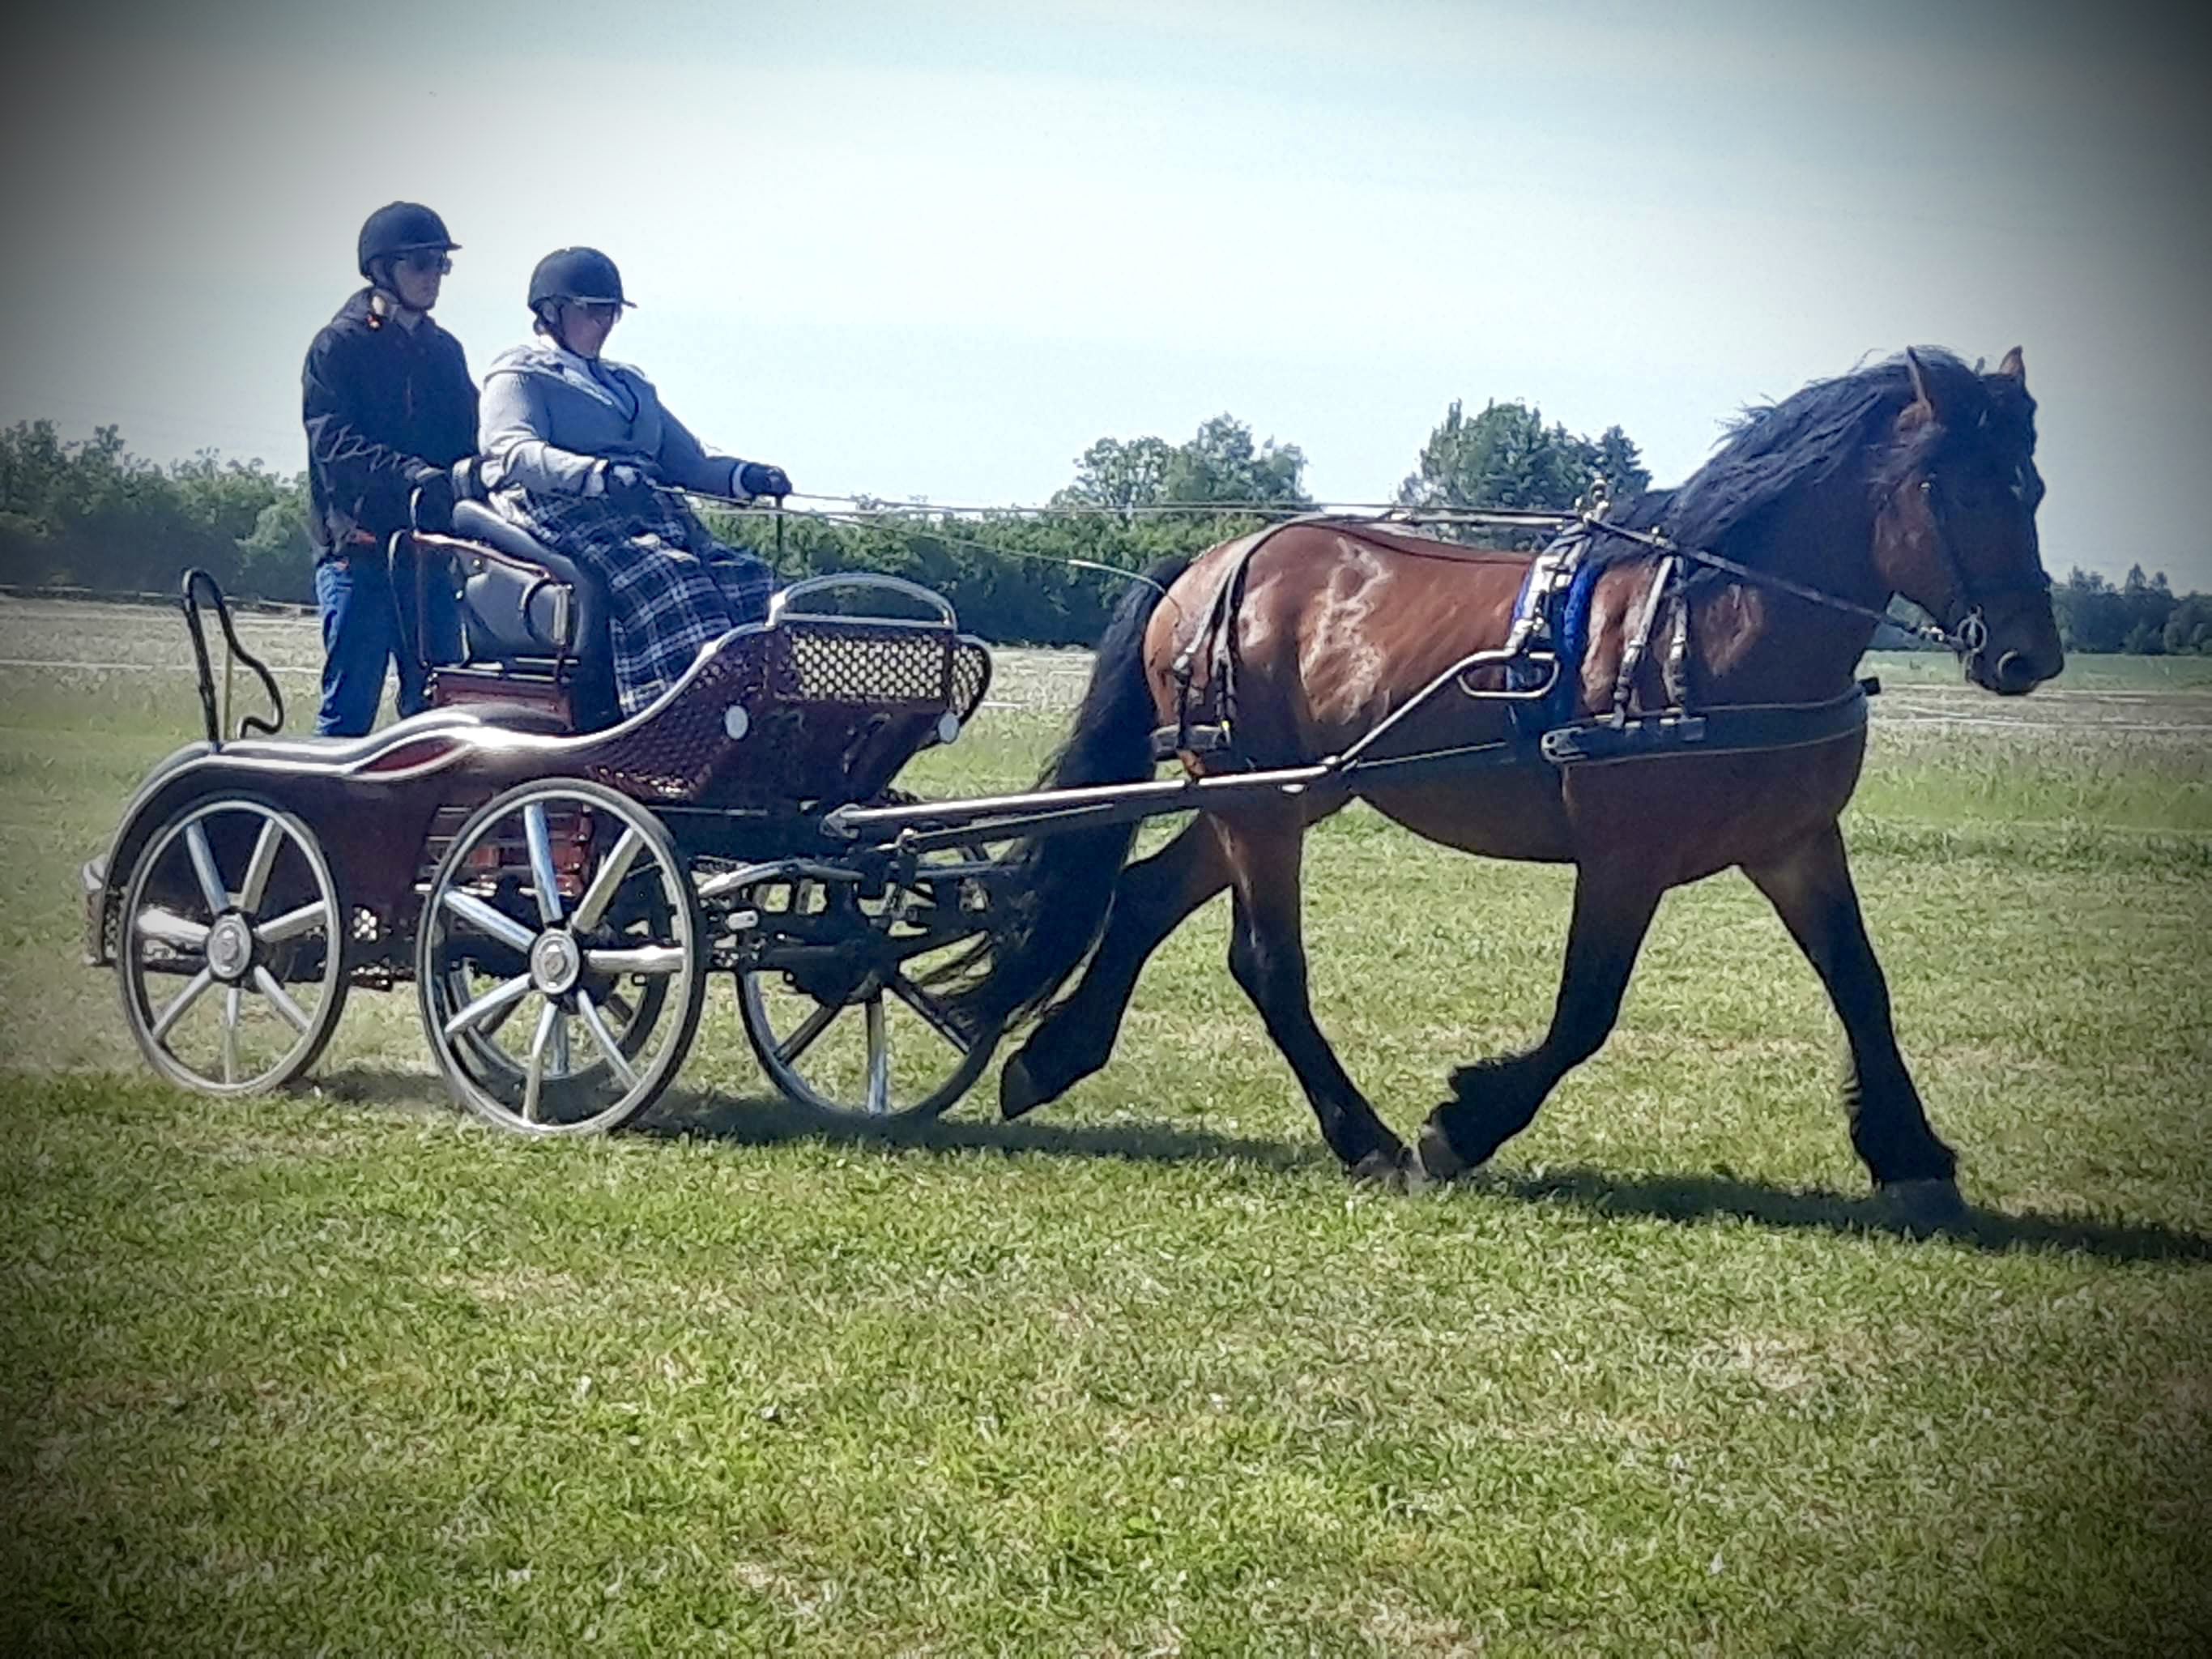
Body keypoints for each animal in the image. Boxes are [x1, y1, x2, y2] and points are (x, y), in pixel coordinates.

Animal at [942, 347, 2061, 1221]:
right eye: (1957, 488)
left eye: (2034, 489)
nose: (2028, 655)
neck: (1709, 625)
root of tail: (1207, 563)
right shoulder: (1624, 853)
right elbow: (1586, 1009)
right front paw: (1463, 1123)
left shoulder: (1795, 842)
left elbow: (1861, 984)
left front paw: (1911, 1157)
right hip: (1258, 799)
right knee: (1267, 963)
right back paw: (1365, 1137)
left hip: (1277, 792)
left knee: (1139, 898)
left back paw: (1052, 1057)